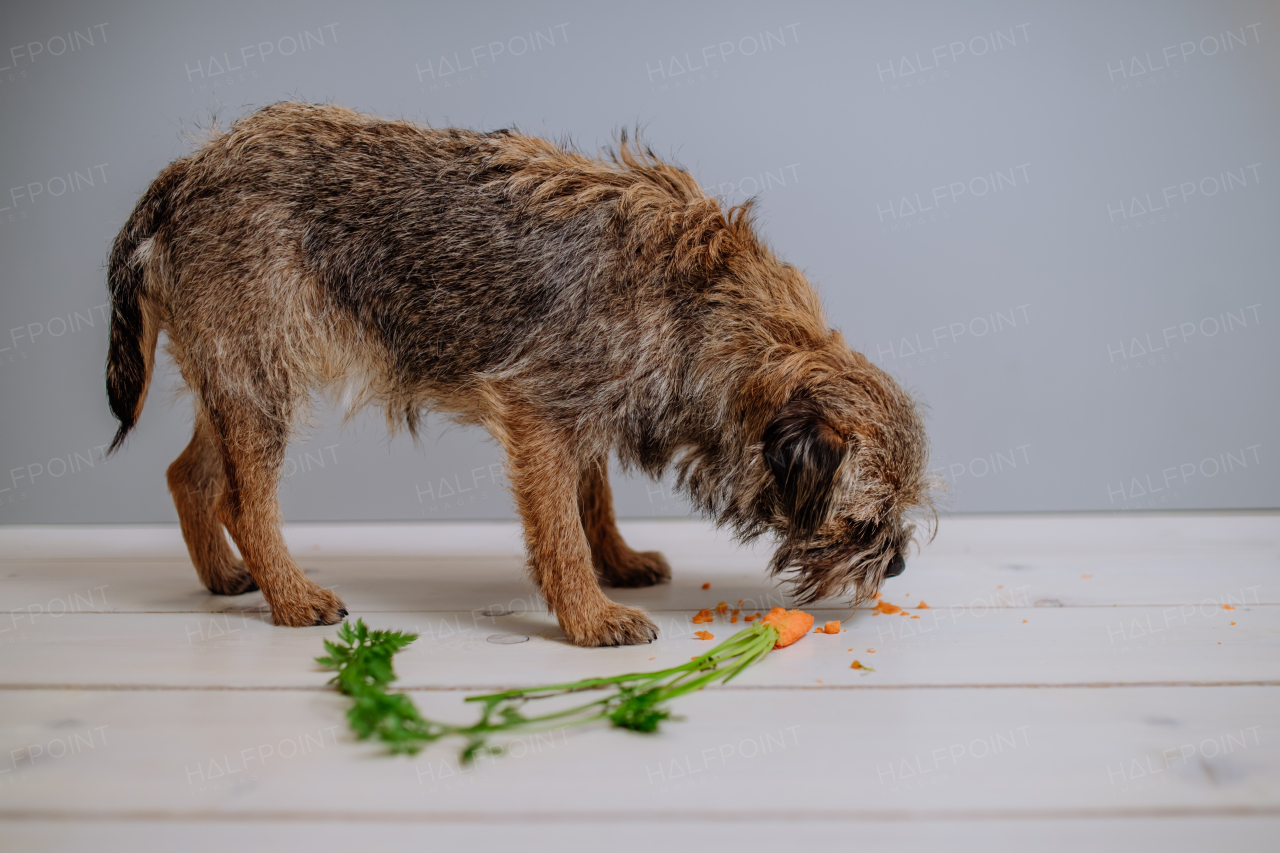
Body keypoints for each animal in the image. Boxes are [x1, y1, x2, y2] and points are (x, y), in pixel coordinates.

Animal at [104, 101, 936, 645]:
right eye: (863, 522)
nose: (896, 564)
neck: (703, 306)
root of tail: (186, 171)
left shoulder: (585, 411)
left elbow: (592, 497)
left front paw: (618, 561)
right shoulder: (539, 413)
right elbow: (560, 528)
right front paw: (589, 615)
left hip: (233, 372)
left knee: (192, 475)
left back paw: (225, 575)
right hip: (262, 373)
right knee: (246, 499)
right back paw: (290, 595)